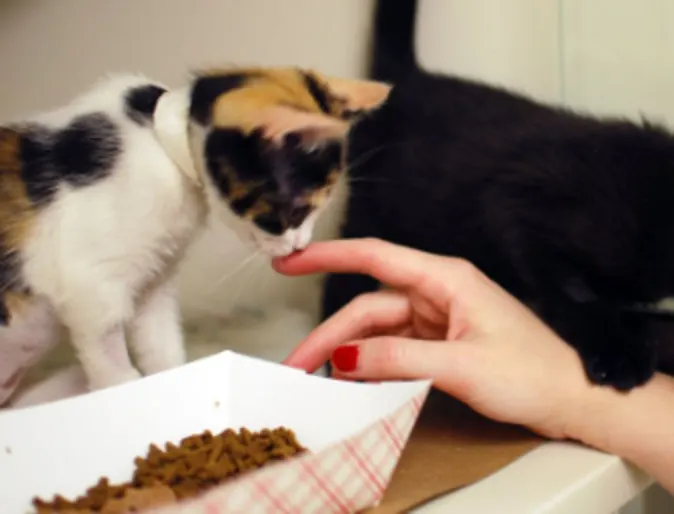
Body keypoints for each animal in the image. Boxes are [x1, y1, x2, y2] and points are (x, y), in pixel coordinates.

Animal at [0, 67, 378, 404]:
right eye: (296, 213)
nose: (299, 245)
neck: (161, 146)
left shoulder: (154, 284)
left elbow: (160, 346)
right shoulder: (91, 287)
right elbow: (109, 357)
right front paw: (125, 392)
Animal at [318, 0, 672, 386]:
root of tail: (411, 78)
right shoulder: (521, 203)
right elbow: (577, 292)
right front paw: (616, 349)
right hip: (373, 211)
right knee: (344, 272)